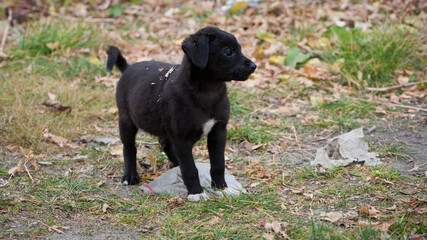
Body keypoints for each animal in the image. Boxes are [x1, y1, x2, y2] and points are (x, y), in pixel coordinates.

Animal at [106, 26, 256, 201]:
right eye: (228, 52)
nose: (254, 66)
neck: (208, 91)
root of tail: (127, 68)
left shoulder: (218, 131)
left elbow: (218, 163)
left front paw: (221, 188)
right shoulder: (181, 137)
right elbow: (190, 168)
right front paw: (196, 192)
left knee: (164, 143)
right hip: (126, 119)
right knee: (129, 147)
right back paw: (130, 175)